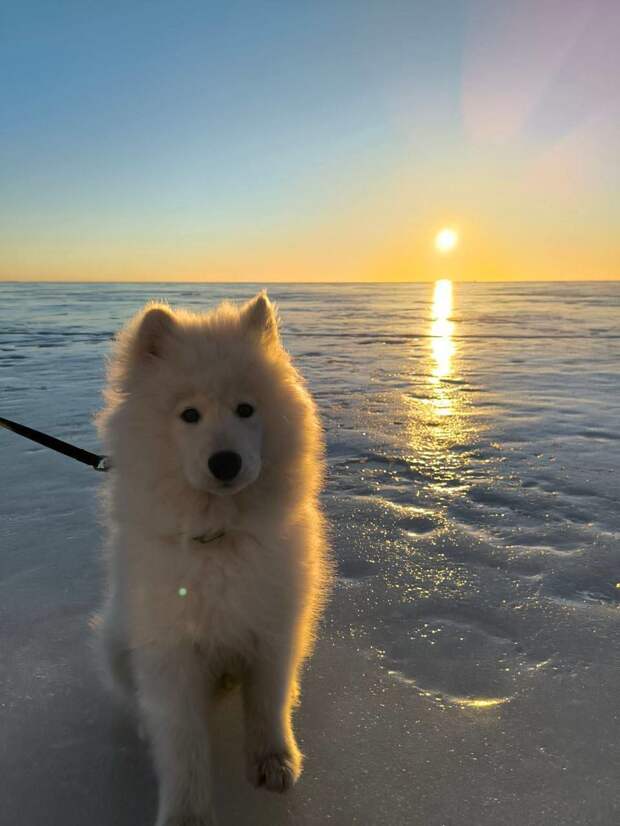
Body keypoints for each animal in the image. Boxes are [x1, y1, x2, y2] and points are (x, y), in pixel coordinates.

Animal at [93, 292, 330, 820]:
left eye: (246, 409)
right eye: (189, 415)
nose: (225, 462)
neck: (218, 535)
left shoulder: (273, 629)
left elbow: (268, 703)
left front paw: (274, 763)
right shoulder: (170, 651)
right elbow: (183, 744)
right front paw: (187, 814)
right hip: (115, 645)